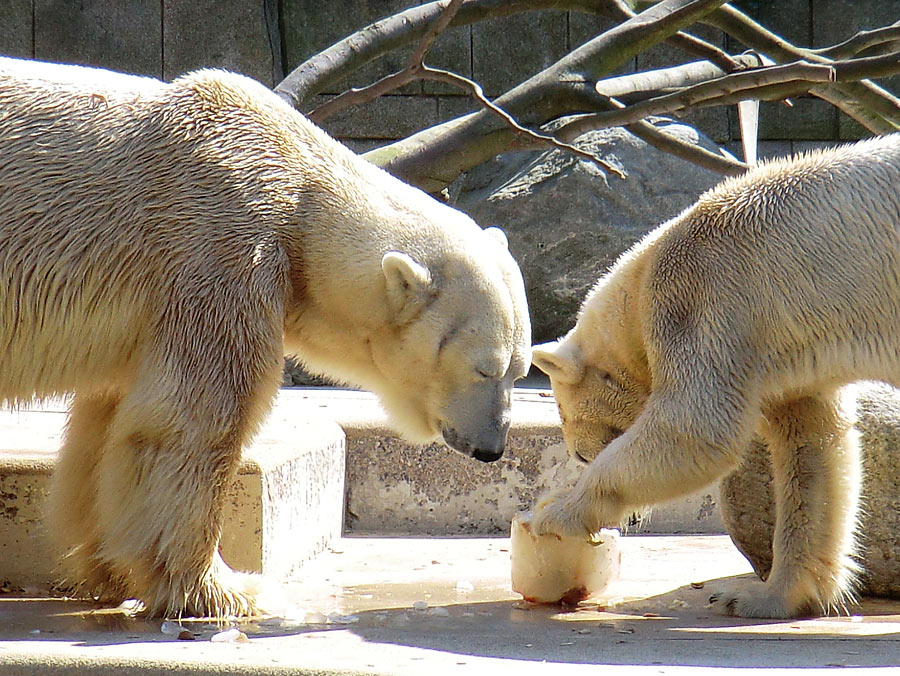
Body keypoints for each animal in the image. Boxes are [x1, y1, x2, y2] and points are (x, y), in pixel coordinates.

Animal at [0, 58, 532, 616]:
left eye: (521, 370)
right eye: (484, 368)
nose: (492, 449)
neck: (298, 191)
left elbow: (109, 425)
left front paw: (111, 569)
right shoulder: (220, 250)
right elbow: (194, 421)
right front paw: (224, 589)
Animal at [532, 135, 900, 620]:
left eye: (581, 454)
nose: (633, 521)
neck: (642, 279)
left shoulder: (701, 299)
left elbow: (694, 428)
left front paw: (556, 511)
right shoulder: (780, 352)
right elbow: (812, 445)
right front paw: (764, 597)